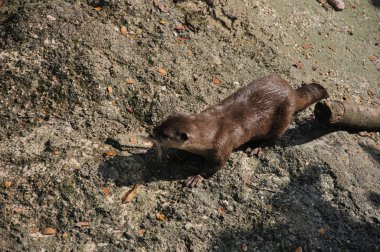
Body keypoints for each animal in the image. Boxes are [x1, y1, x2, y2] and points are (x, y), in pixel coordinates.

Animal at [150, 74, 328, 186]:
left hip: (284, 117)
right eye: (161, 123)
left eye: (164, 135)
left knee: (273, 138)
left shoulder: (222, 147)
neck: (210, 132)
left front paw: (196, 177)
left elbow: (215, 166)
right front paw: (179, 154)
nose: (152, 132)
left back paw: (256, 148)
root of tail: (291, 92)